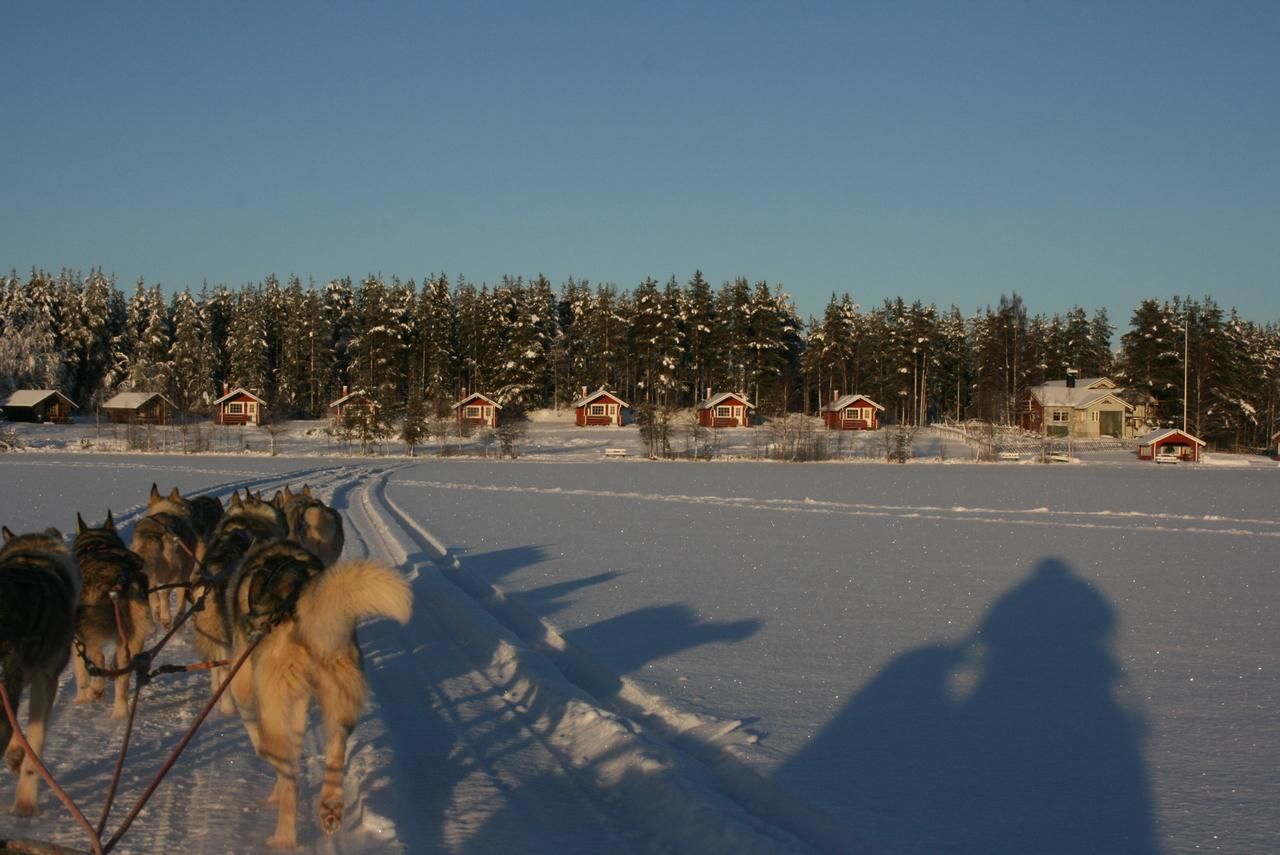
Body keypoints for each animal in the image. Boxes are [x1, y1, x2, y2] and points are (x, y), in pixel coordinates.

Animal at [70, 514, 153, 721]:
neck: (98, 545)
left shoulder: (76, 640)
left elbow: (81, 672)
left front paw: (82, 696)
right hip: (132, 637)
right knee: (124, 675)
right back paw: (120, 712)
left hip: (88, 633)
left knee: (97, 658)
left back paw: (97, 689)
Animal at [131, 486, 200, 627]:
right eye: (184, 503)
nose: (191, 504)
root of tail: (154, 533)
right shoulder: (183, 578)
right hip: (176, 575)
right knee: (164, 593)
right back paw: (165, 616)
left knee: (156, 592)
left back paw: (159, 612)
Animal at [225, 540, 409, 849]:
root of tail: (298, 601)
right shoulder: (299, 706)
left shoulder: (244, 685)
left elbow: (255, 733)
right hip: (338, 697)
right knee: (335, 749)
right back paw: (330, 806)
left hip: (275, 707)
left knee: (291, 781)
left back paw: (283, 839)